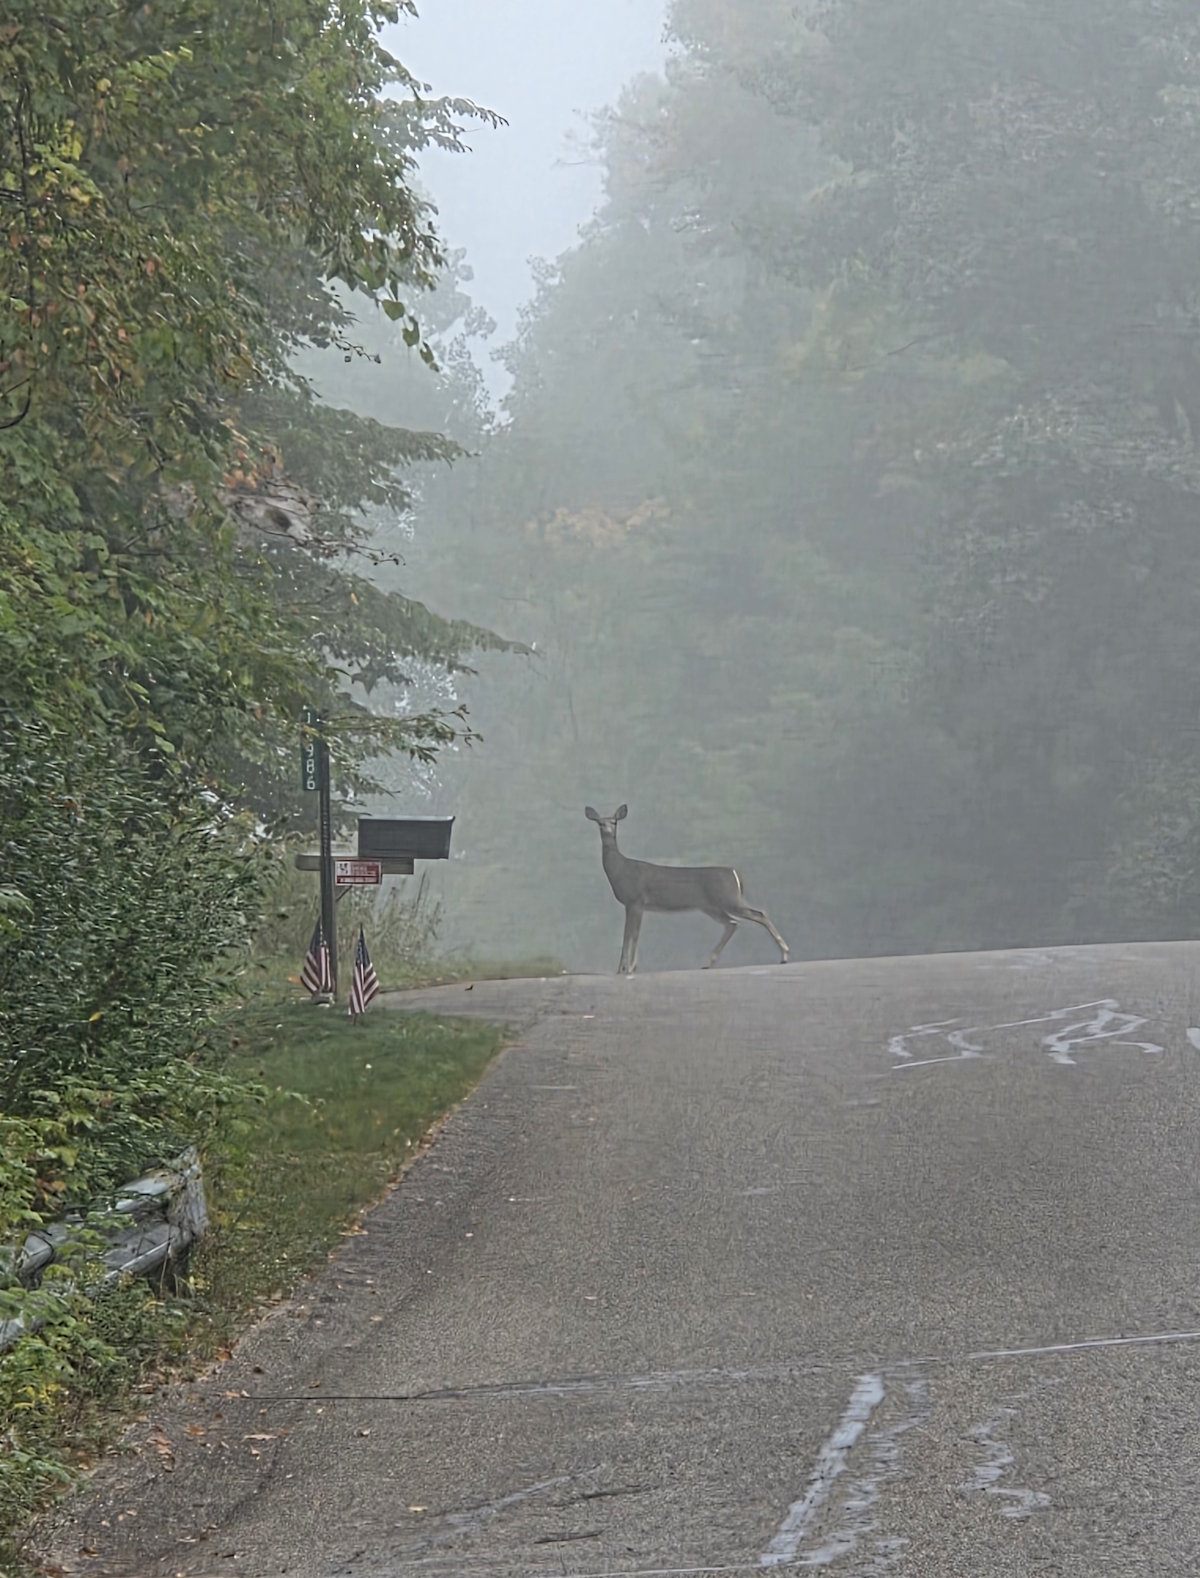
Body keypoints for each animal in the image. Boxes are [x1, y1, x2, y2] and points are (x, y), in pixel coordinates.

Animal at [584, 804, 790, 975]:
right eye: (600, 823)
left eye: (614, 822)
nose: (607, 829)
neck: (622, 870)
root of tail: (733, 872)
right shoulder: (630, 904)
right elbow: (626, 935)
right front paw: (620, 969)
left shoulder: (636, 900)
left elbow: (633, 935)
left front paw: (630, 967)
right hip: (711, 906)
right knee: (733, 923)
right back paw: (708, 963)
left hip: (729, 898)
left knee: (758, 914)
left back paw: (785, 955)